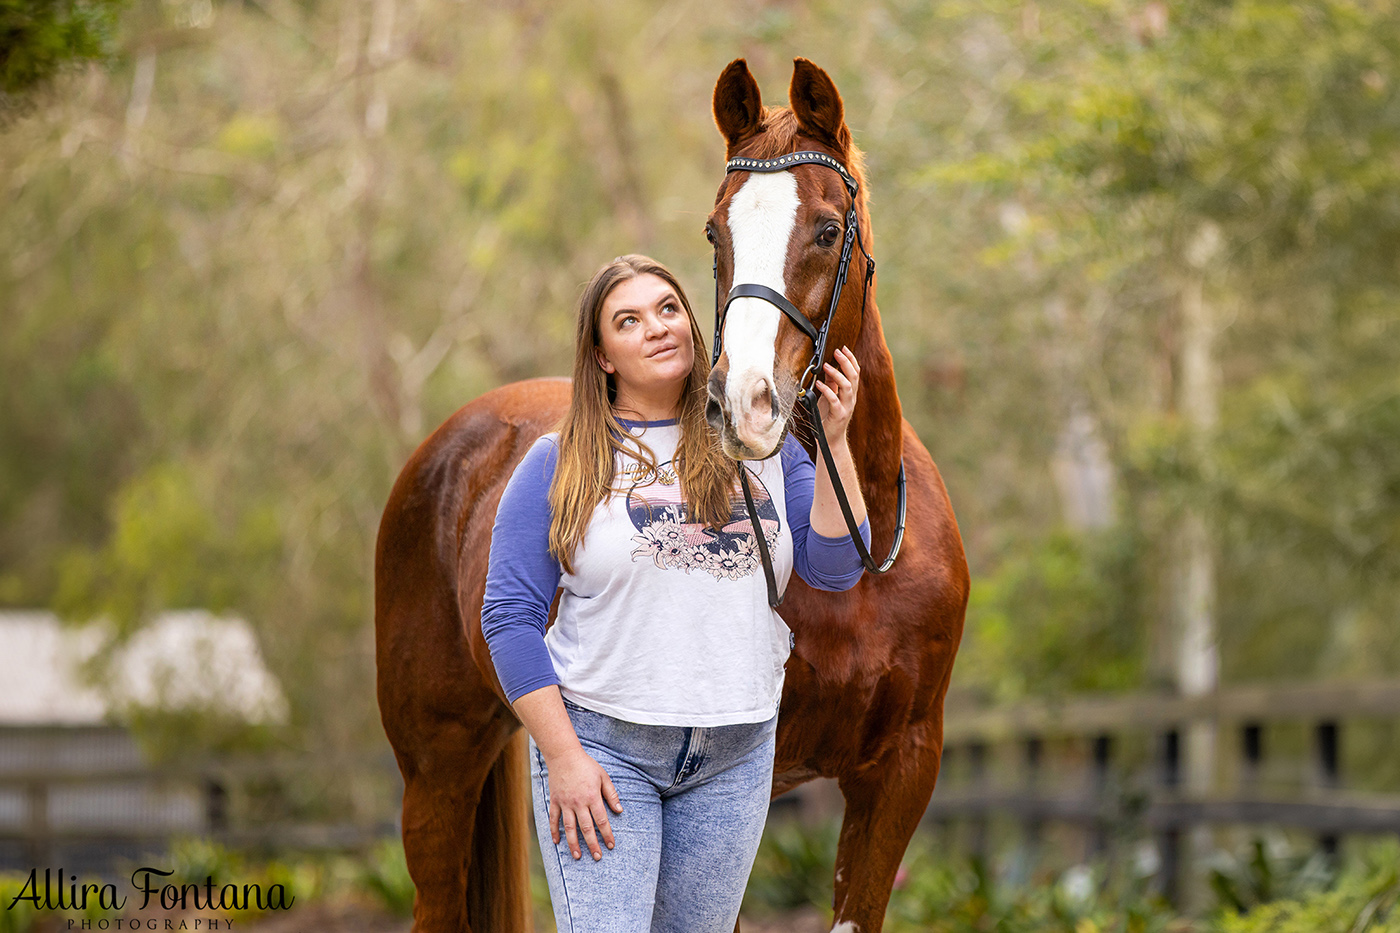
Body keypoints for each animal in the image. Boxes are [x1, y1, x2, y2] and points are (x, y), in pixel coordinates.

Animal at [372, 58, 963, 930]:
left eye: (828, 228)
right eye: (717, 232)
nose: (743, 402)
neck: (866, 560)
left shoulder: (901, 771)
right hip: (435, 771)